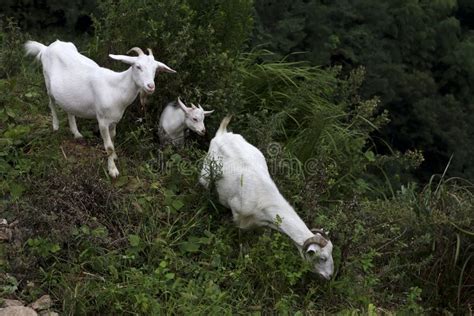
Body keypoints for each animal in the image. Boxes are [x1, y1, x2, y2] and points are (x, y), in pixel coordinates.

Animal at [24, 39, 176, 178]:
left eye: (156, 69)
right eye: (137, 66)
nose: (150, 86)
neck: (115, 89)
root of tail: (46, 48)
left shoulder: (114, 120)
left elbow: (113, 139)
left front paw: (114, 157)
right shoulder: (102, 120)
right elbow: (108, 147)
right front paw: (113, 170)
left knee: (69, 109)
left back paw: (76, 133)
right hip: (48, 83)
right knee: (51, 103)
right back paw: (55, 126)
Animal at [199, 116, 334, 278]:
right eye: (322, 258)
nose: (330, 276)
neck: (264, 200)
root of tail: (222, 133)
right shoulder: (238, 218)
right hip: (206, 172)